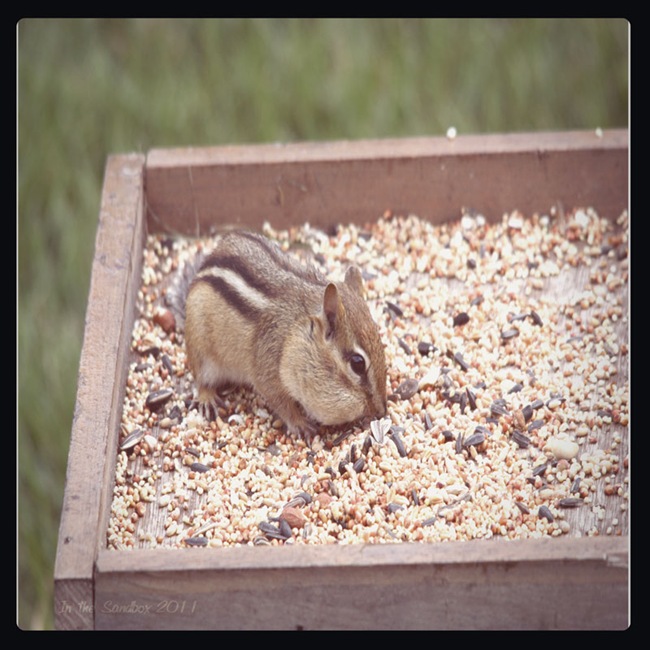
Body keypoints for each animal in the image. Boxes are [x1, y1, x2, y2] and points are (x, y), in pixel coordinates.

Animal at [171, 230, 387, 439]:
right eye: (357, 363)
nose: (381, 410)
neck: (295, 335)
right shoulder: (267, 370)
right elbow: (281, 403)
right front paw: (301, 424)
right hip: (201, 351)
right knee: (201, 379)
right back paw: (207, 398)